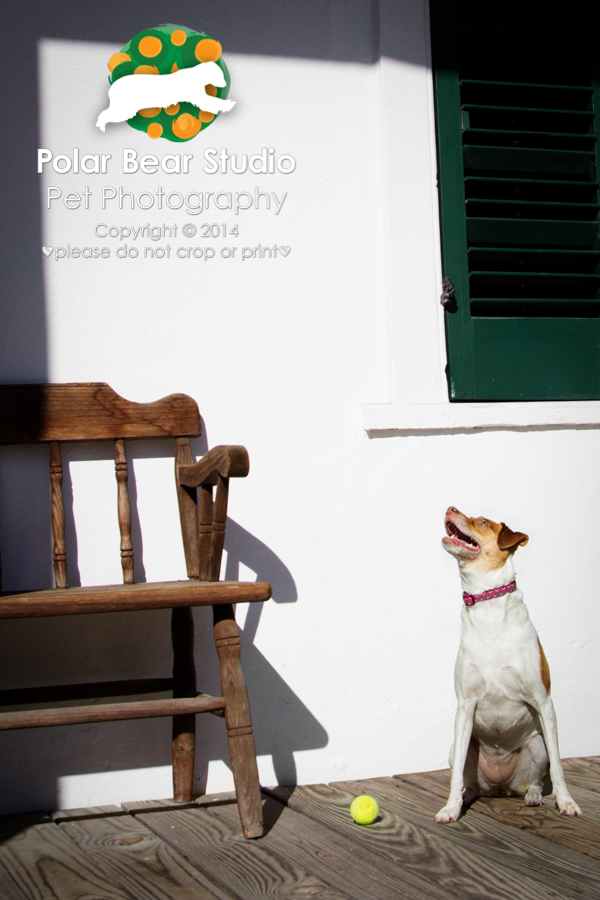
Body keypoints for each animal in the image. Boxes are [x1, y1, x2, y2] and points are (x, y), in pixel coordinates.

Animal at [96, 61, 234, 132]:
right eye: (220, 75)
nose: (226, 83)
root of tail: (112, 88)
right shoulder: (197, 95)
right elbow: (212, 101)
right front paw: (228, 104)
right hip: (125, 108)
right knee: (104, 114)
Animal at [436, 506, 580, 824]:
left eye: (482, 522)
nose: (450, 508)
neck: (487, 606)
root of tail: (500, 788)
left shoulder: (544, 703)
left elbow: (558, 767)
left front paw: (566, 802)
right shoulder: (465, 708)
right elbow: (455, 777)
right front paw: (450, 808)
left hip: (537, 745)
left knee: (536, 780)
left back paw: (534, 796)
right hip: (459, 747)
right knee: (469, 782)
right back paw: (467, 797)